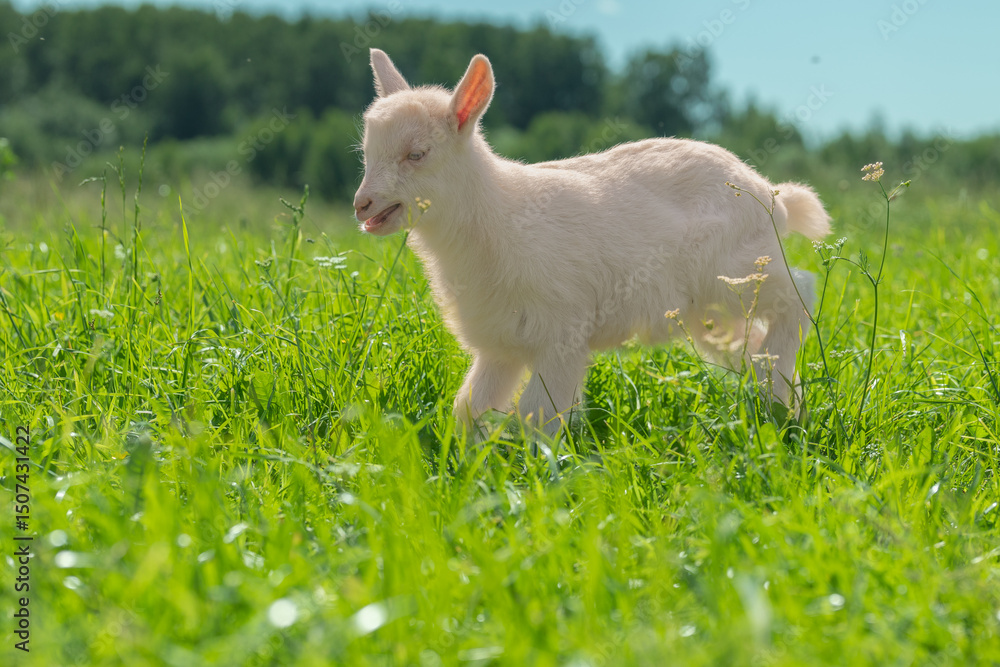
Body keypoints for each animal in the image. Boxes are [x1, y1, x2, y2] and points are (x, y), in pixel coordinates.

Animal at [354, 49, 831, 434]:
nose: (362, 205)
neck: (497, 215)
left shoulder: (562, 332)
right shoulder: (500, 345)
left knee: (799, 295)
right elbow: (469, 409)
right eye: (366, 153)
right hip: (710, 309)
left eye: (417, 154)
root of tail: (771, 194)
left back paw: (778, 390)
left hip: (740, 267)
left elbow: (538, 418)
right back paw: (780, 403)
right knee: (750, 342)